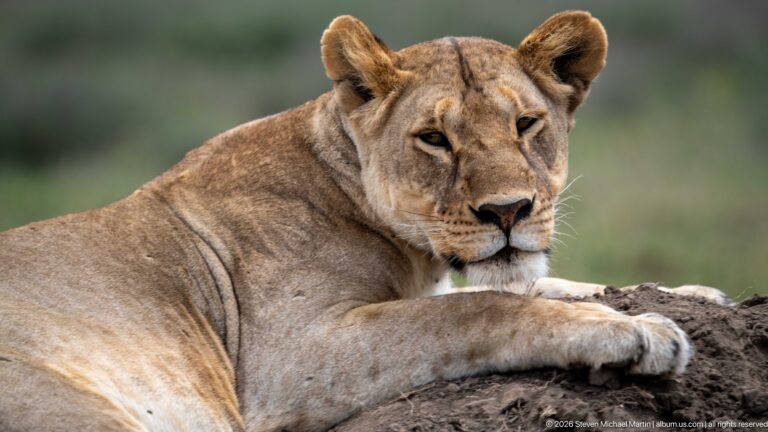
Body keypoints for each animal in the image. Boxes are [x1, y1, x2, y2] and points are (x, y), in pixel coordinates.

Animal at [0, 11, 730, 432]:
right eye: (433, 138)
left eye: (526, 125)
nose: (508, 211)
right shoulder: (287, 360)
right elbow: (476, 311)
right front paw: (637, 333)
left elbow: (546, 284)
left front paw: (697, 295)